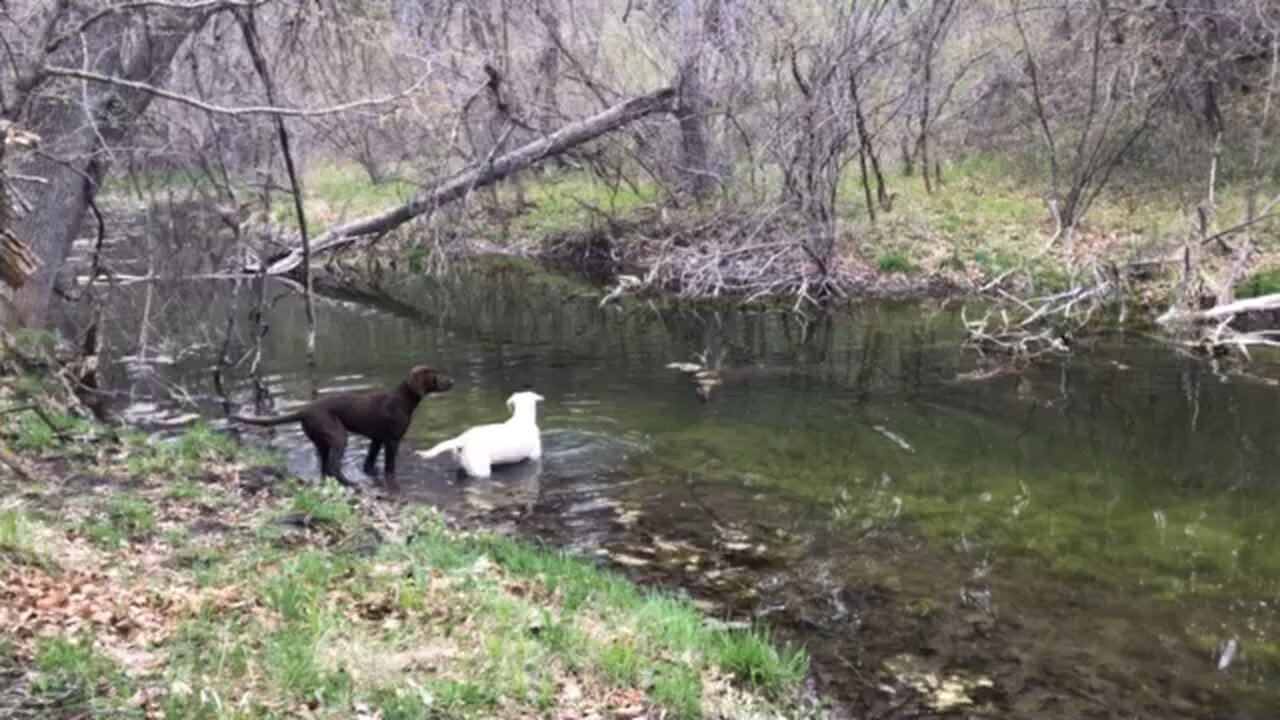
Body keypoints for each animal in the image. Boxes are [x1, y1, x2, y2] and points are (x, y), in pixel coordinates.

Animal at [232, 363, 453, 486]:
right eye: (435, 375)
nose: (452, 382)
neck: (402, 400)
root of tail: (304, 410)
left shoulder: (376, 439)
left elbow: (369, 463)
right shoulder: (392, 440)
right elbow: (389, 467)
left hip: (322, 441)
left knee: (324, 468)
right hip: (338, 435)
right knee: (334, 466)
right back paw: (351, 483)